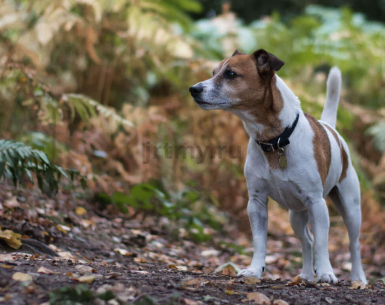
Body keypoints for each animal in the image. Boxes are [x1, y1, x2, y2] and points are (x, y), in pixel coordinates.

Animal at [189, 48, 366, 282]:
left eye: (231, 74)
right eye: (213, 72)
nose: (193, 89)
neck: (276, 141)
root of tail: (330, 128)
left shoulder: (317, 204)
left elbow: (322, 243)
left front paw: (326, 272)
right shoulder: (256, 202)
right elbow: (260, 242)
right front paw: (254, 270)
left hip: (350, 208)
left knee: (353, 244)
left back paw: (358, 278)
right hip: (296, 215)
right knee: (306, 240)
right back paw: (306, 275)